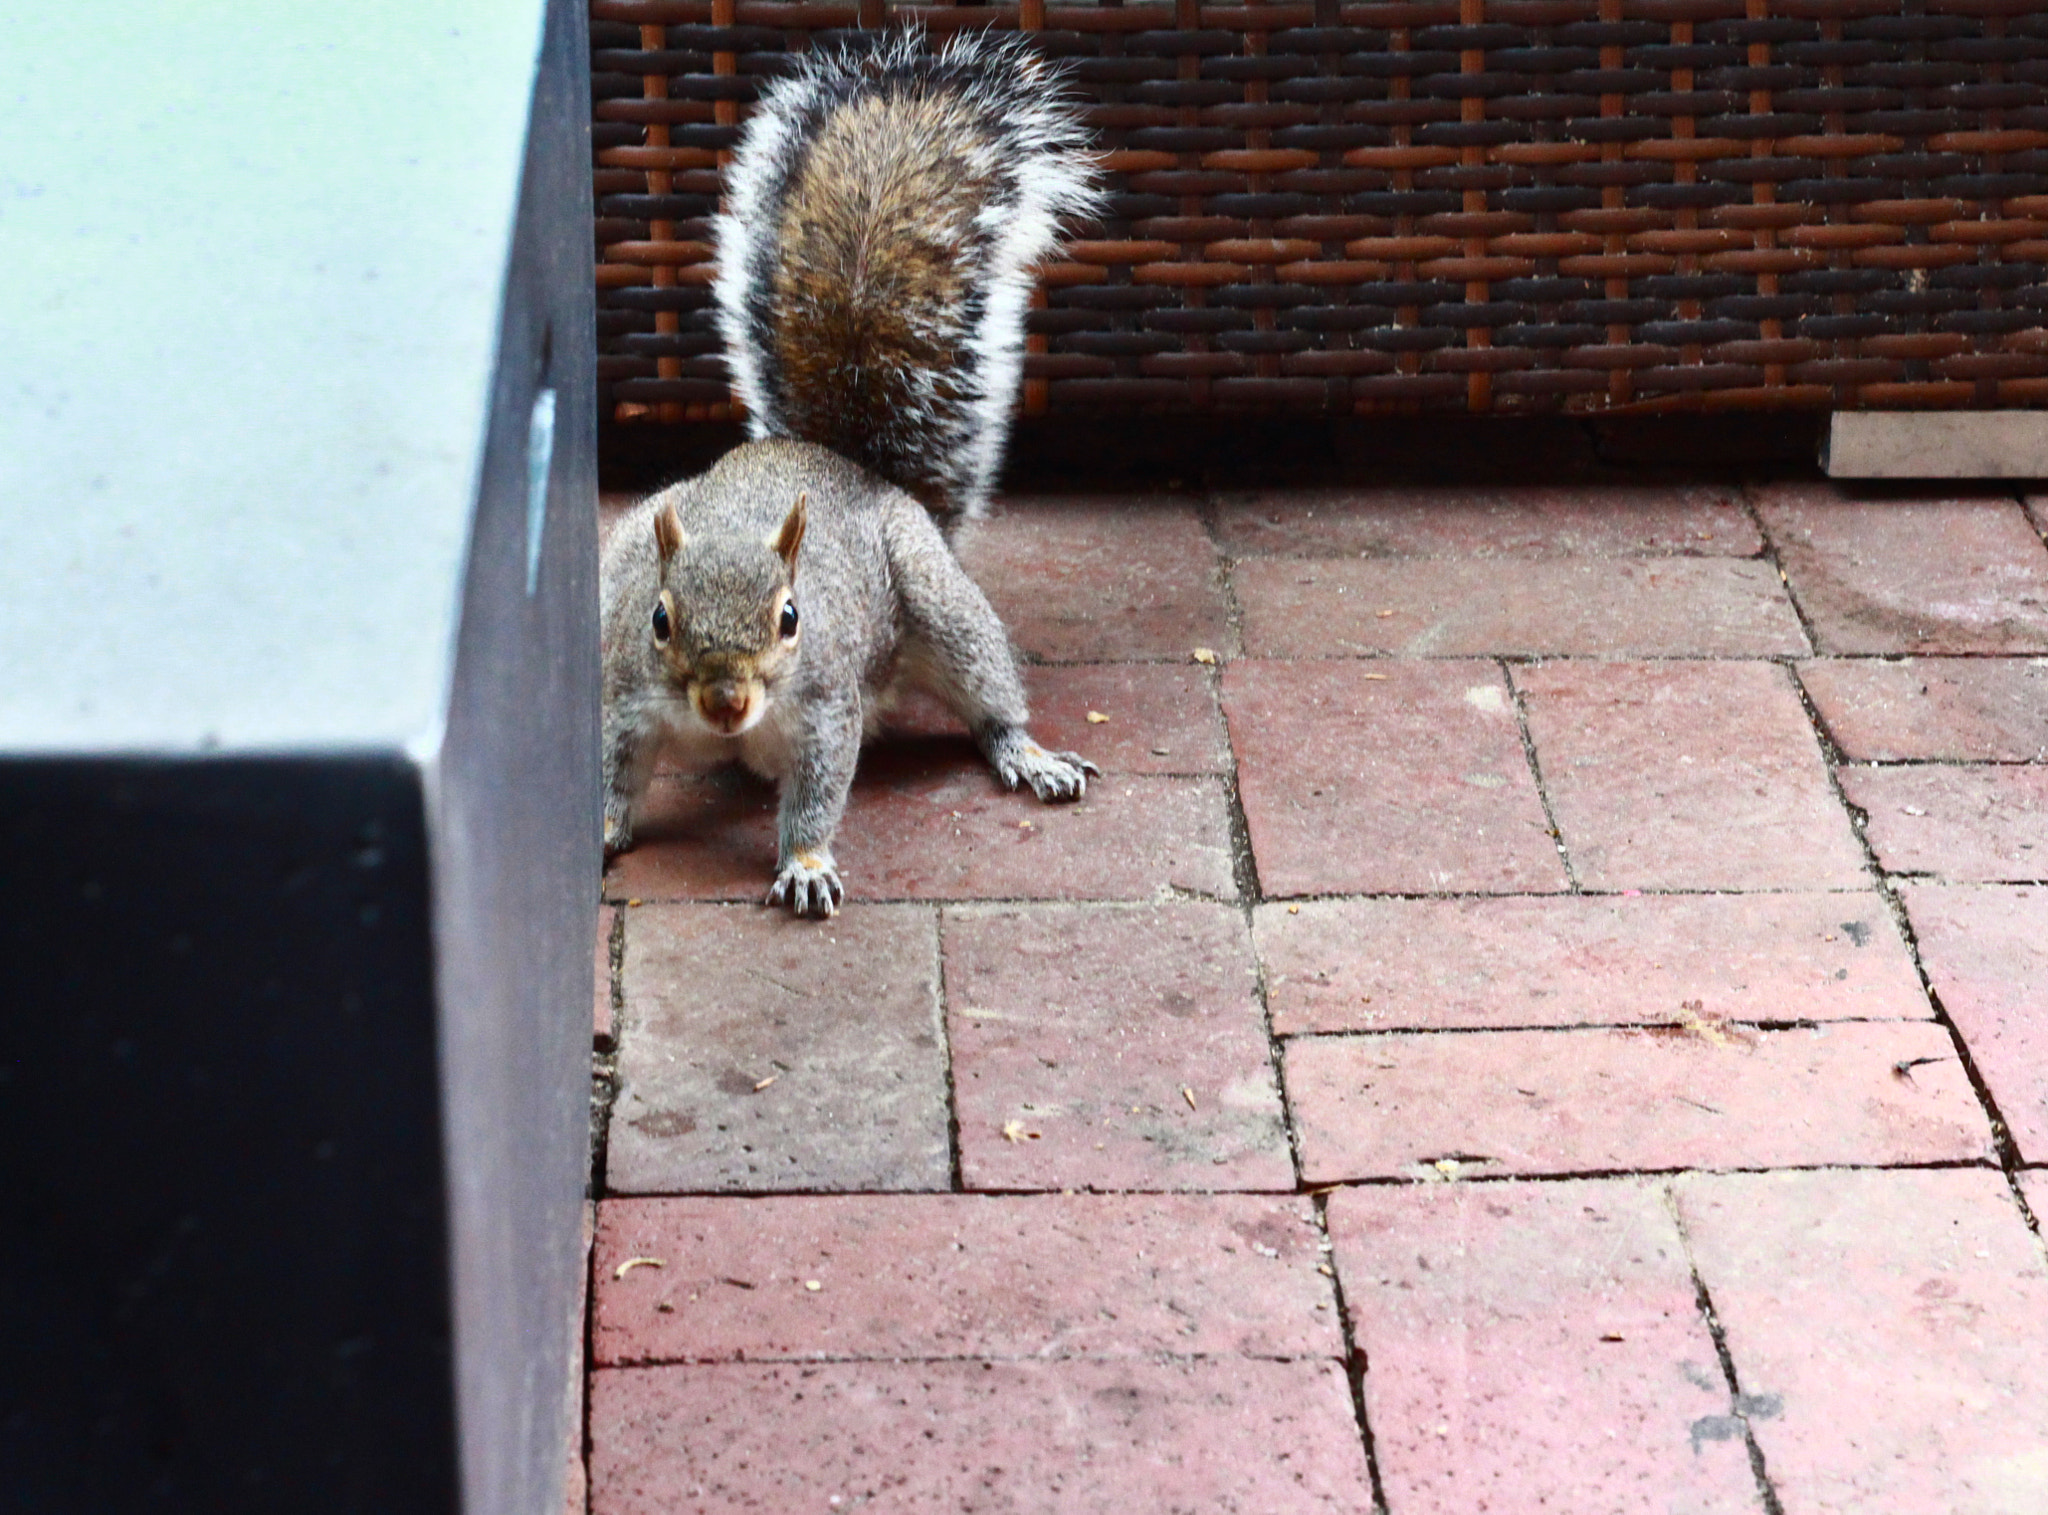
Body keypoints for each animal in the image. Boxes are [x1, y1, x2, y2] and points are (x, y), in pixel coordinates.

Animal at [598, 29, 1105, 917]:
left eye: (791, 617)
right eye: (660, 619)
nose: (725, 701)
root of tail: (847, 463)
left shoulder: (829, 709)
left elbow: (817, 792)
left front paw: (803, 861)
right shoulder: (628, 692)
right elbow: (618, 769)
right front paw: (600, 822)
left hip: (940, 604)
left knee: (990, 696)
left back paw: (1028, 754)